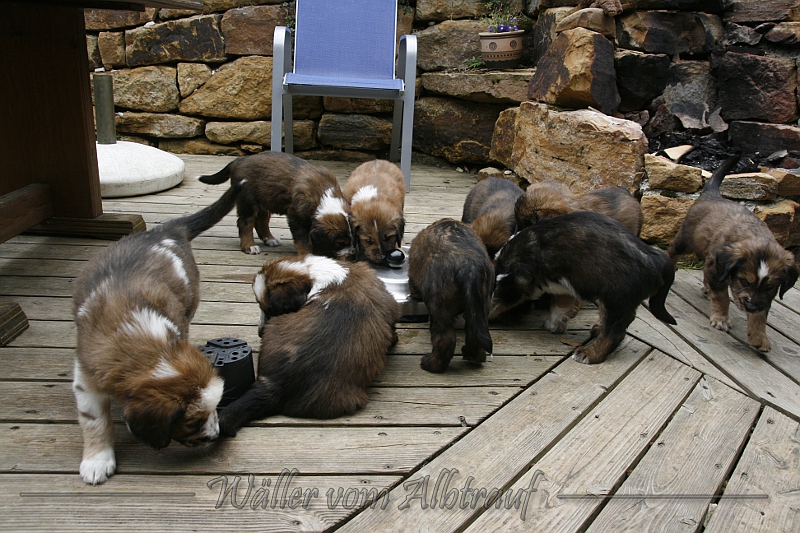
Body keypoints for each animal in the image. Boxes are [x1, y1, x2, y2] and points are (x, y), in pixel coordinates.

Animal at [71, 183, 241, 484]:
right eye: (193, 422)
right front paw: (96, 460)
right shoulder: (86, 377)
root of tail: (166, 230)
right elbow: (94, 421)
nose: (215, 435)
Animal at [198, 152, 352, 258]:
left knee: (261, 220)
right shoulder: (296, 217)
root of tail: (240, 160)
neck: (322, 196)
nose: (352, 256)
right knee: (245, 222)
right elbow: (303, 240)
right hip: (248, 199)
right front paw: (308, 255)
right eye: (340, 243)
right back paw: (249, 246)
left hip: (265, 199)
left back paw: (270, 239)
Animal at [408, 219, 494, 373]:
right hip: (483, 302)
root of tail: (469, 264)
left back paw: (431, 365)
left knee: (444, 339)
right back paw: (473, 356)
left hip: (438, 304)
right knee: (473, 332)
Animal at [492, 211, 677, 364]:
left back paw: (589, 354)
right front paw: (555, 324)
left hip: (615, 299)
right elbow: (559, 305)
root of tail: (657, 259)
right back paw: (597, 329)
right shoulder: (567, 283)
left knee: (614, 333)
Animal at [668, 156, 799, 352]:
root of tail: (712, 195)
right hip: (687, 240)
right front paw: (721, 319)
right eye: (744, 281)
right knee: (673, 250)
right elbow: (722, 297)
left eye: (770, 286)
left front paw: (759, 337)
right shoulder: (717, 269)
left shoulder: (763, 296)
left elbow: (761, 314)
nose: (750, 306)